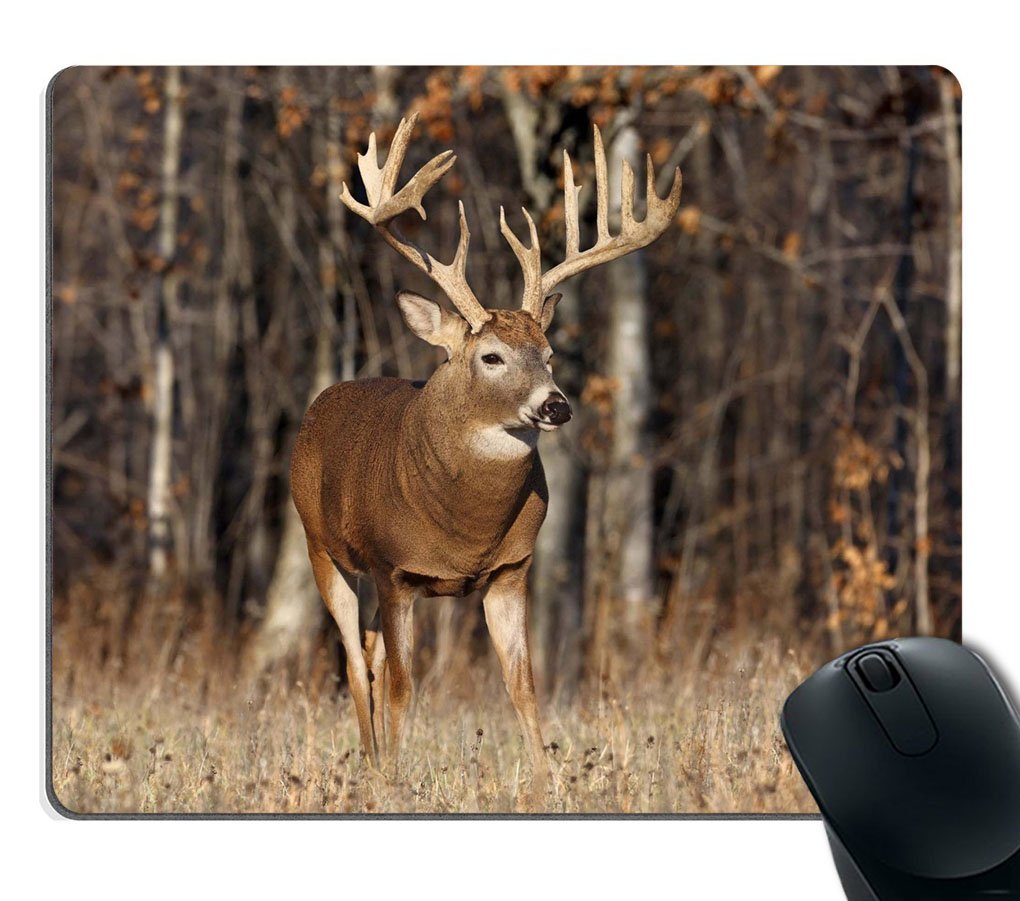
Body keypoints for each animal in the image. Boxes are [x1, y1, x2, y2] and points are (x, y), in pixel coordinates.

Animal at [289, 112, 682, 787]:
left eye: (548, 354)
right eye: (491, 357)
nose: (557, 406)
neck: (465, 527)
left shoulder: (511, 570)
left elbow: (523, 685)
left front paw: (548, 783)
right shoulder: (395, 569)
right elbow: (404, 687)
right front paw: (397, 781)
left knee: (366, 653)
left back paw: (374, 759)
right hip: (322, 548)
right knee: (354, 663)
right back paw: (372, 764)